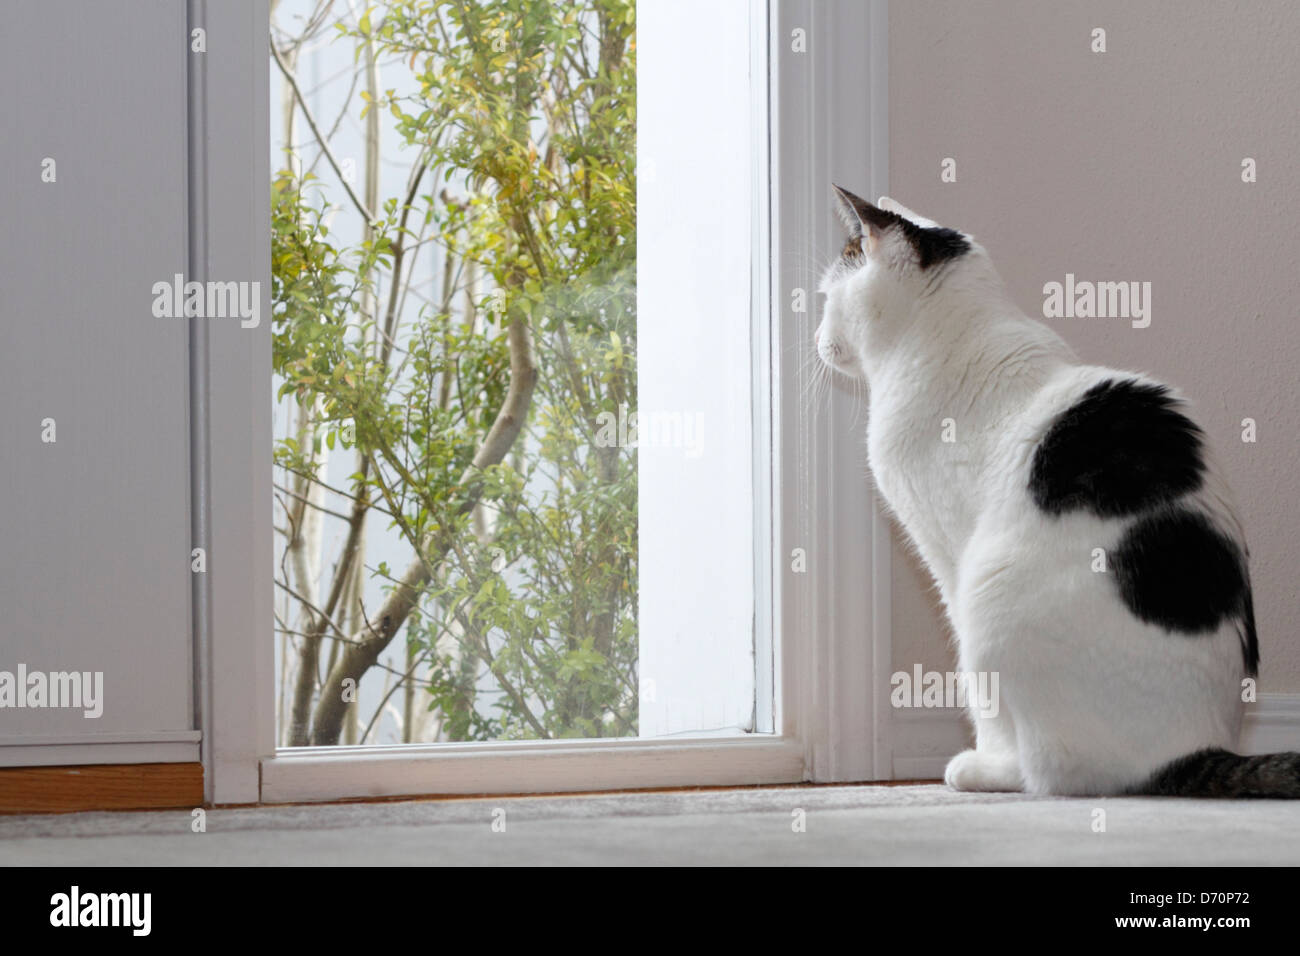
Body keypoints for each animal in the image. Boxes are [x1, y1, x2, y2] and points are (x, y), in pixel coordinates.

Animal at [816, 187, 1294, 801]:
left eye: (829, 296)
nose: (817, 339)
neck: (947, 338)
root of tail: (1198, 747)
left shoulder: (949, 558)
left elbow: (983, 702)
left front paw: (984, 757)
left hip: (989, 598)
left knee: (1054, 772)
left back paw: (990, 772)